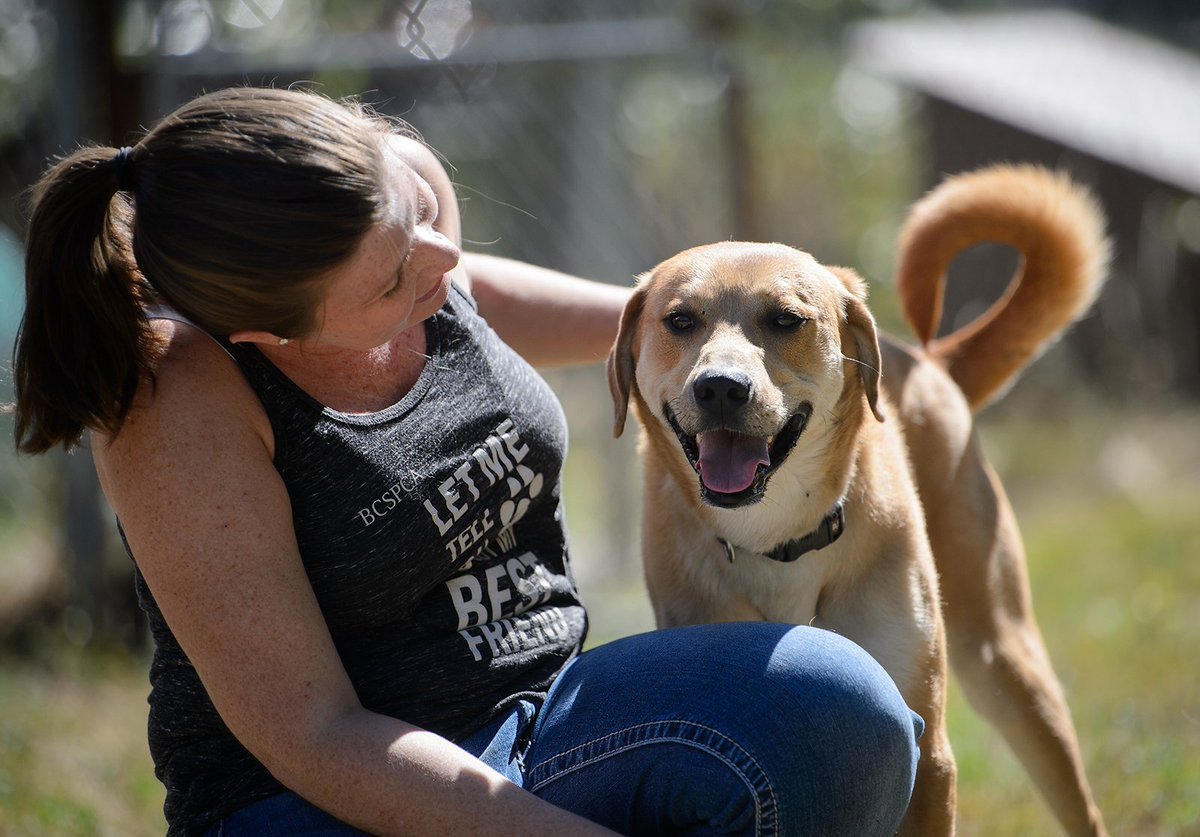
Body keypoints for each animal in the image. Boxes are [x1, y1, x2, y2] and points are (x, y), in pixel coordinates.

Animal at [609, 164, 1113, 834]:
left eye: (786, 320)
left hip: (1008, 664)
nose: (720, 388)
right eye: (681, 321)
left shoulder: (929, 753)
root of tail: (928, 361)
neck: (776, 539)